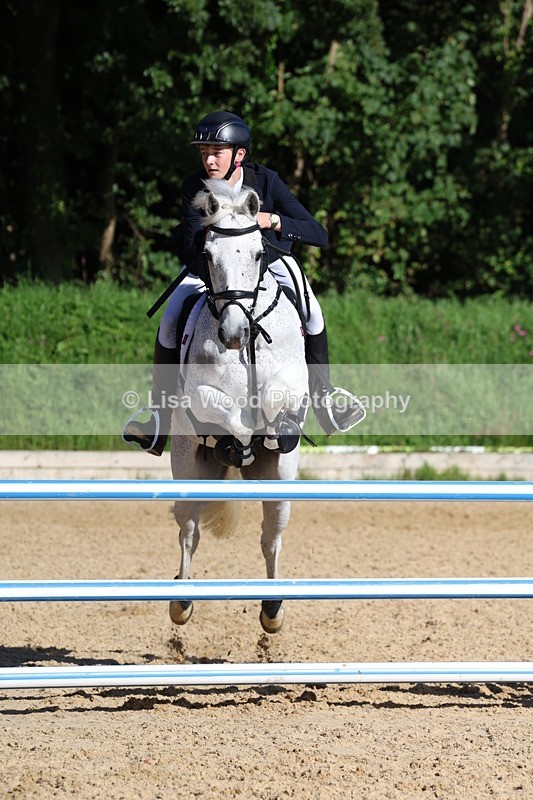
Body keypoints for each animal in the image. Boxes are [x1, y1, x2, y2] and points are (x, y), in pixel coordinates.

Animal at [169, 180, 309, 633]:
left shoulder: (294, 385)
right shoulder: (199, 395)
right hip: (185, 465)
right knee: (188, 531)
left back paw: (272, 609)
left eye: (258, 253)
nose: (234, 334)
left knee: (271, 536)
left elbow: (276, 400)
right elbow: (234, 417)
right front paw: (240, 445)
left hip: (280, 484)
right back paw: (181, 601)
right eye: (208, 255)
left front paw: (275, 431)